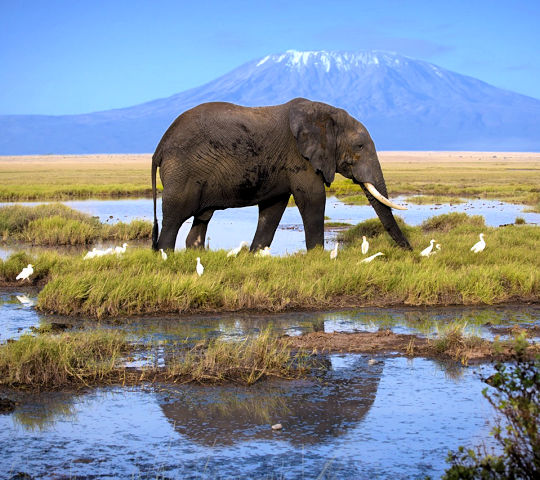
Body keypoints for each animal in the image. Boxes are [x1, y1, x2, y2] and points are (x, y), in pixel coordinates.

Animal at [150, 96, 412, 251]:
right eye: (359, 146)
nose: (410, 253)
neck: (324, 113)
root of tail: (159, 146)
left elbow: (273, 208)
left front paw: (254, 255)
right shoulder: (299, 157)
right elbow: (312, 198)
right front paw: (317, 256)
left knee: (202, 218)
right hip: (182, 170)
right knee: (175, 217)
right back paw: (166, 256)